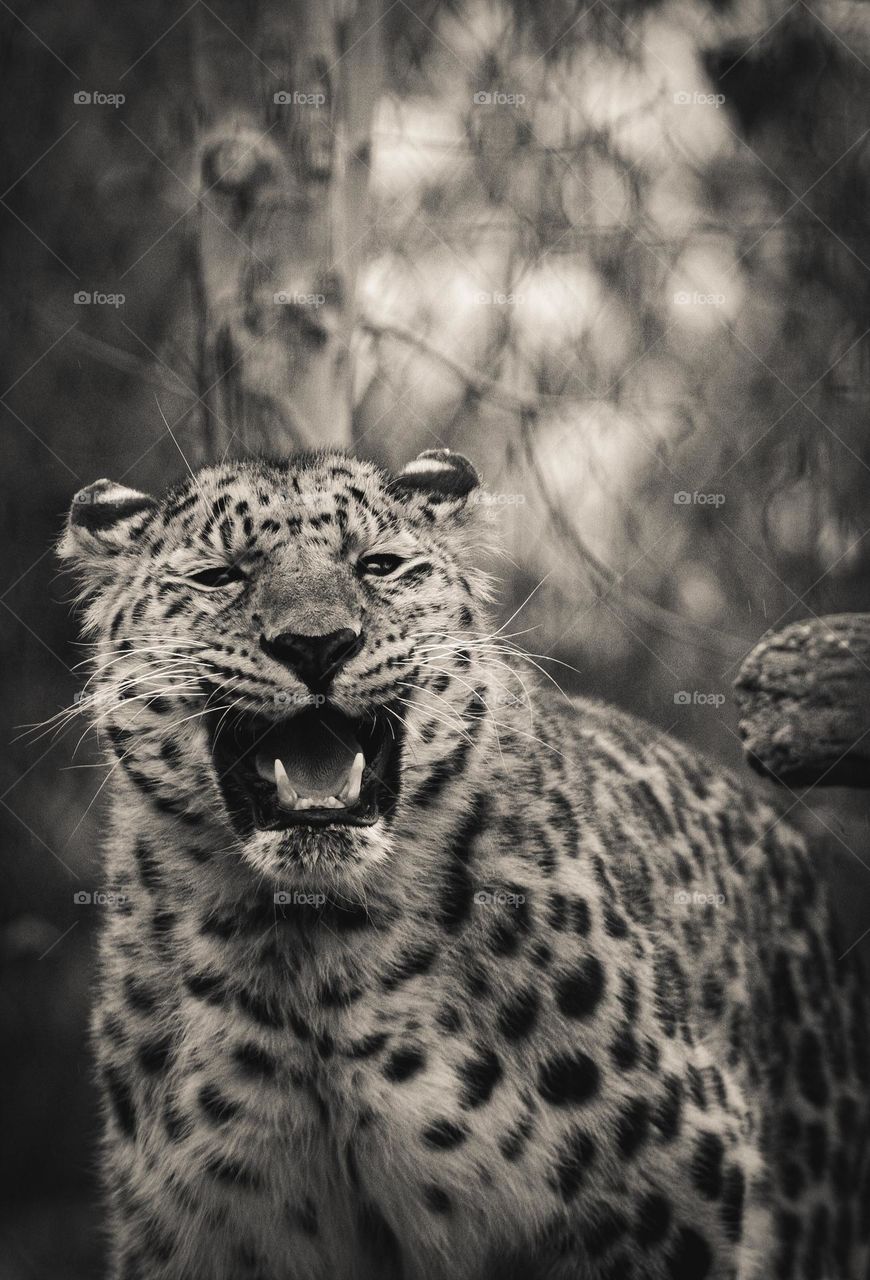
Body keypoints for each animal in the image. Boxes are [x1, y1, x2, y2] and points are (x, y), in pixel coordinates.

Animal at [58, 447, 870, 1280]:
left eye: (379, 565)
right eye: (219, 576)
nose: (318, 643)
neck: (312, 957)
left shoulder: (669, 1190)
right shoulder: (204, 1232)